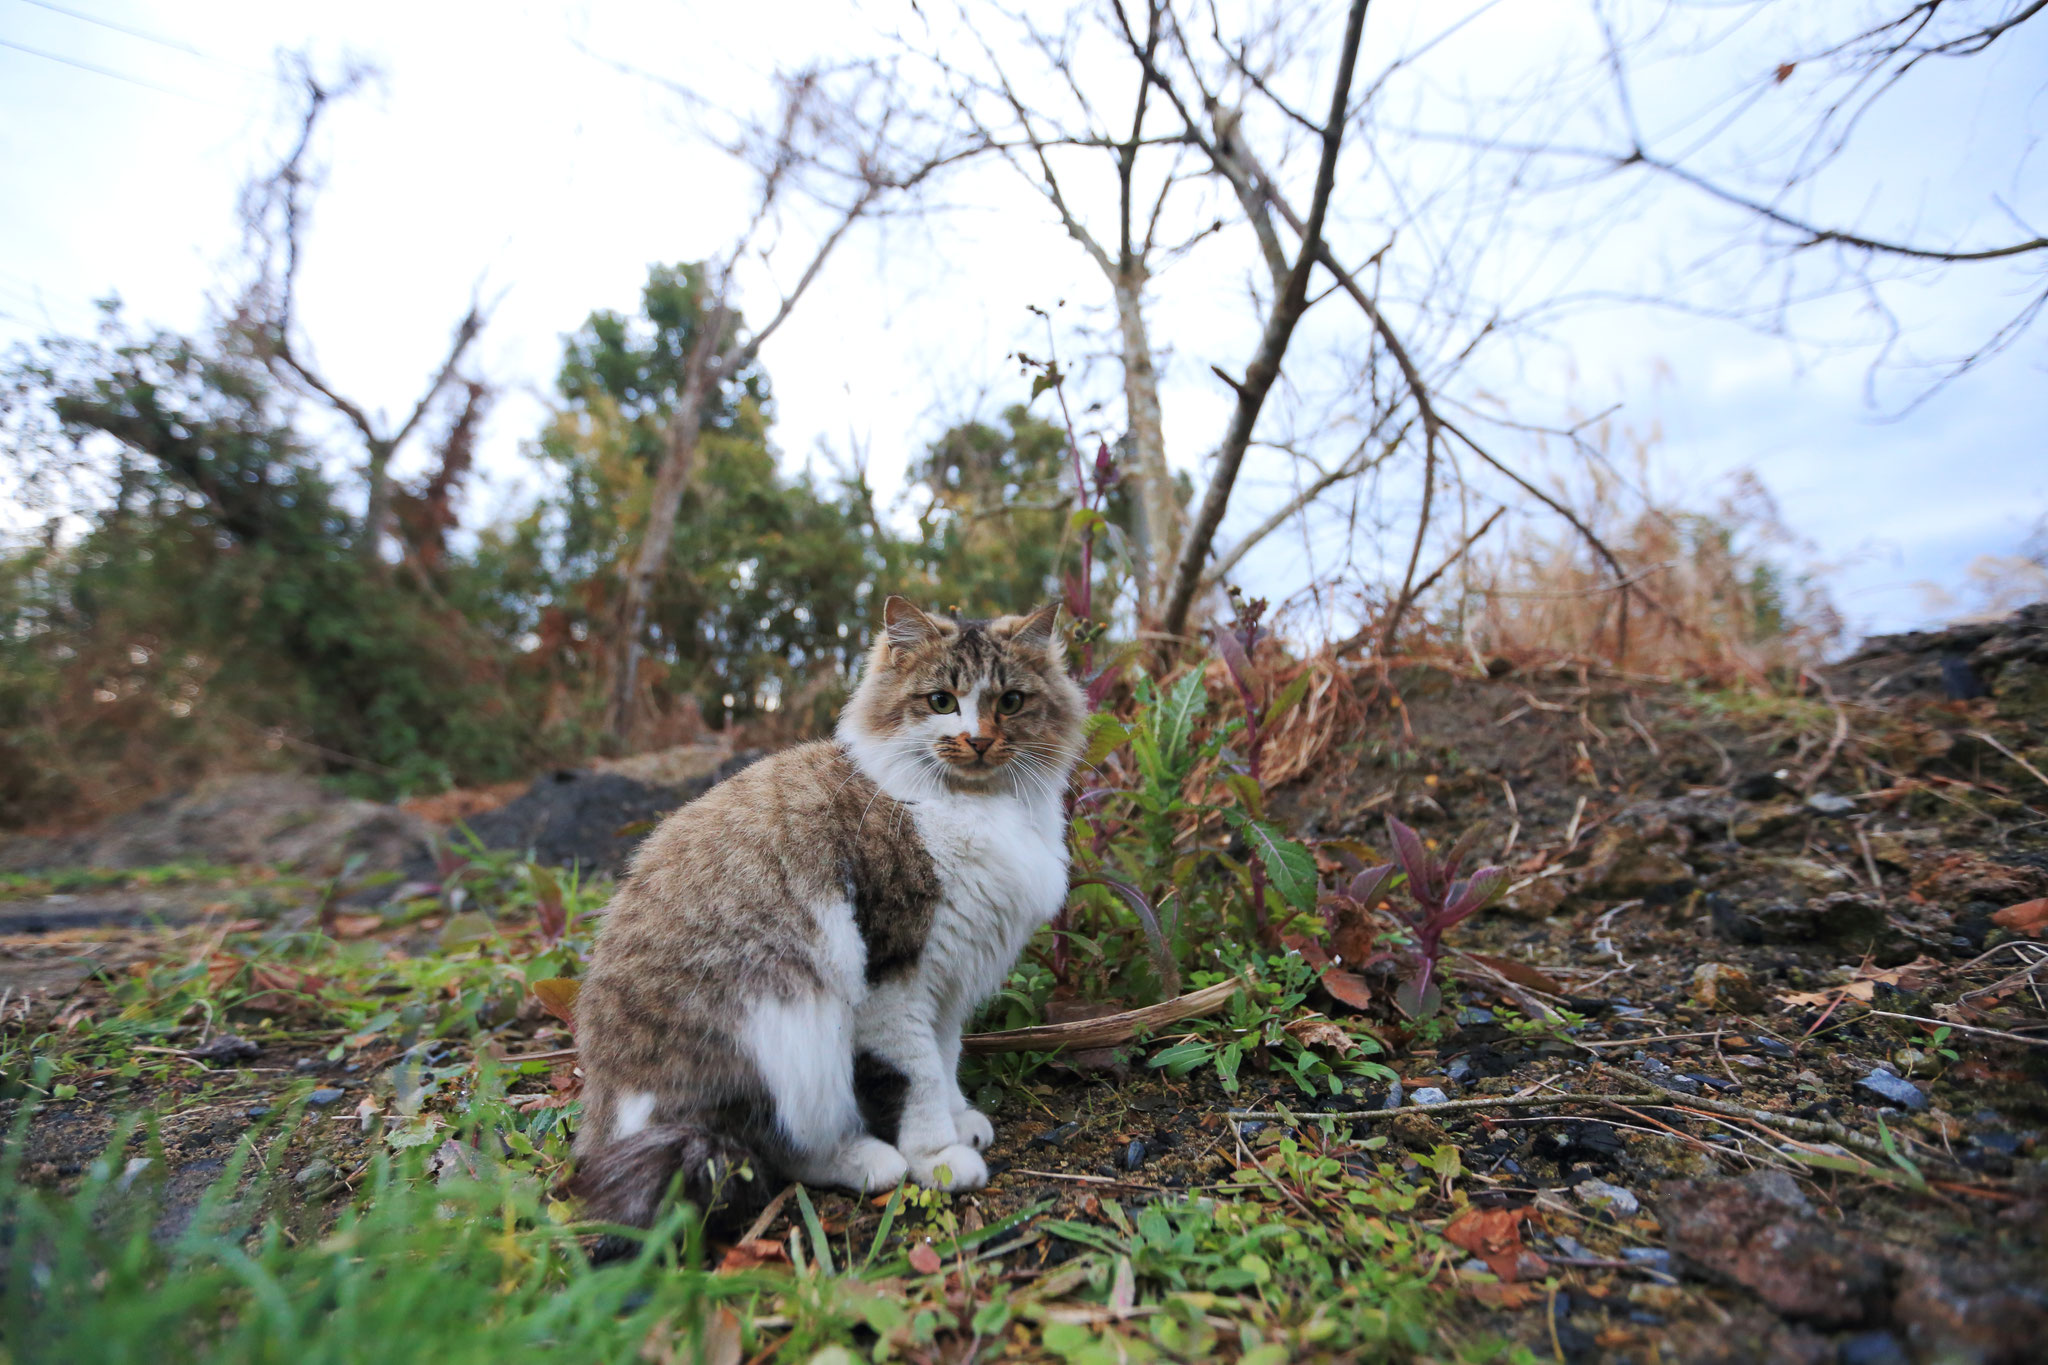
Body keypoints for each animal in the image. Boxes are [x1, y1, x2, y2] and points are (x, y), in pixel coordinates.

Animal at [569, 597, 1089, 1236]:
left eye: (1010, 702)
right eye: (941, 701)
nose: (979, 742)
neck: (966, 806)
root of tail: (606, 1111)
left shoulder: (945, 984)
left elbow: (945, 1061)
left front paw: (960, 1118)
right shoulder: (896, 980)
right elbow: (918, 1078)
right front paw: (938, 1157)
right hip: (788, 1022)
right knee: (773, 1144)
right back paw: (871, 1161)